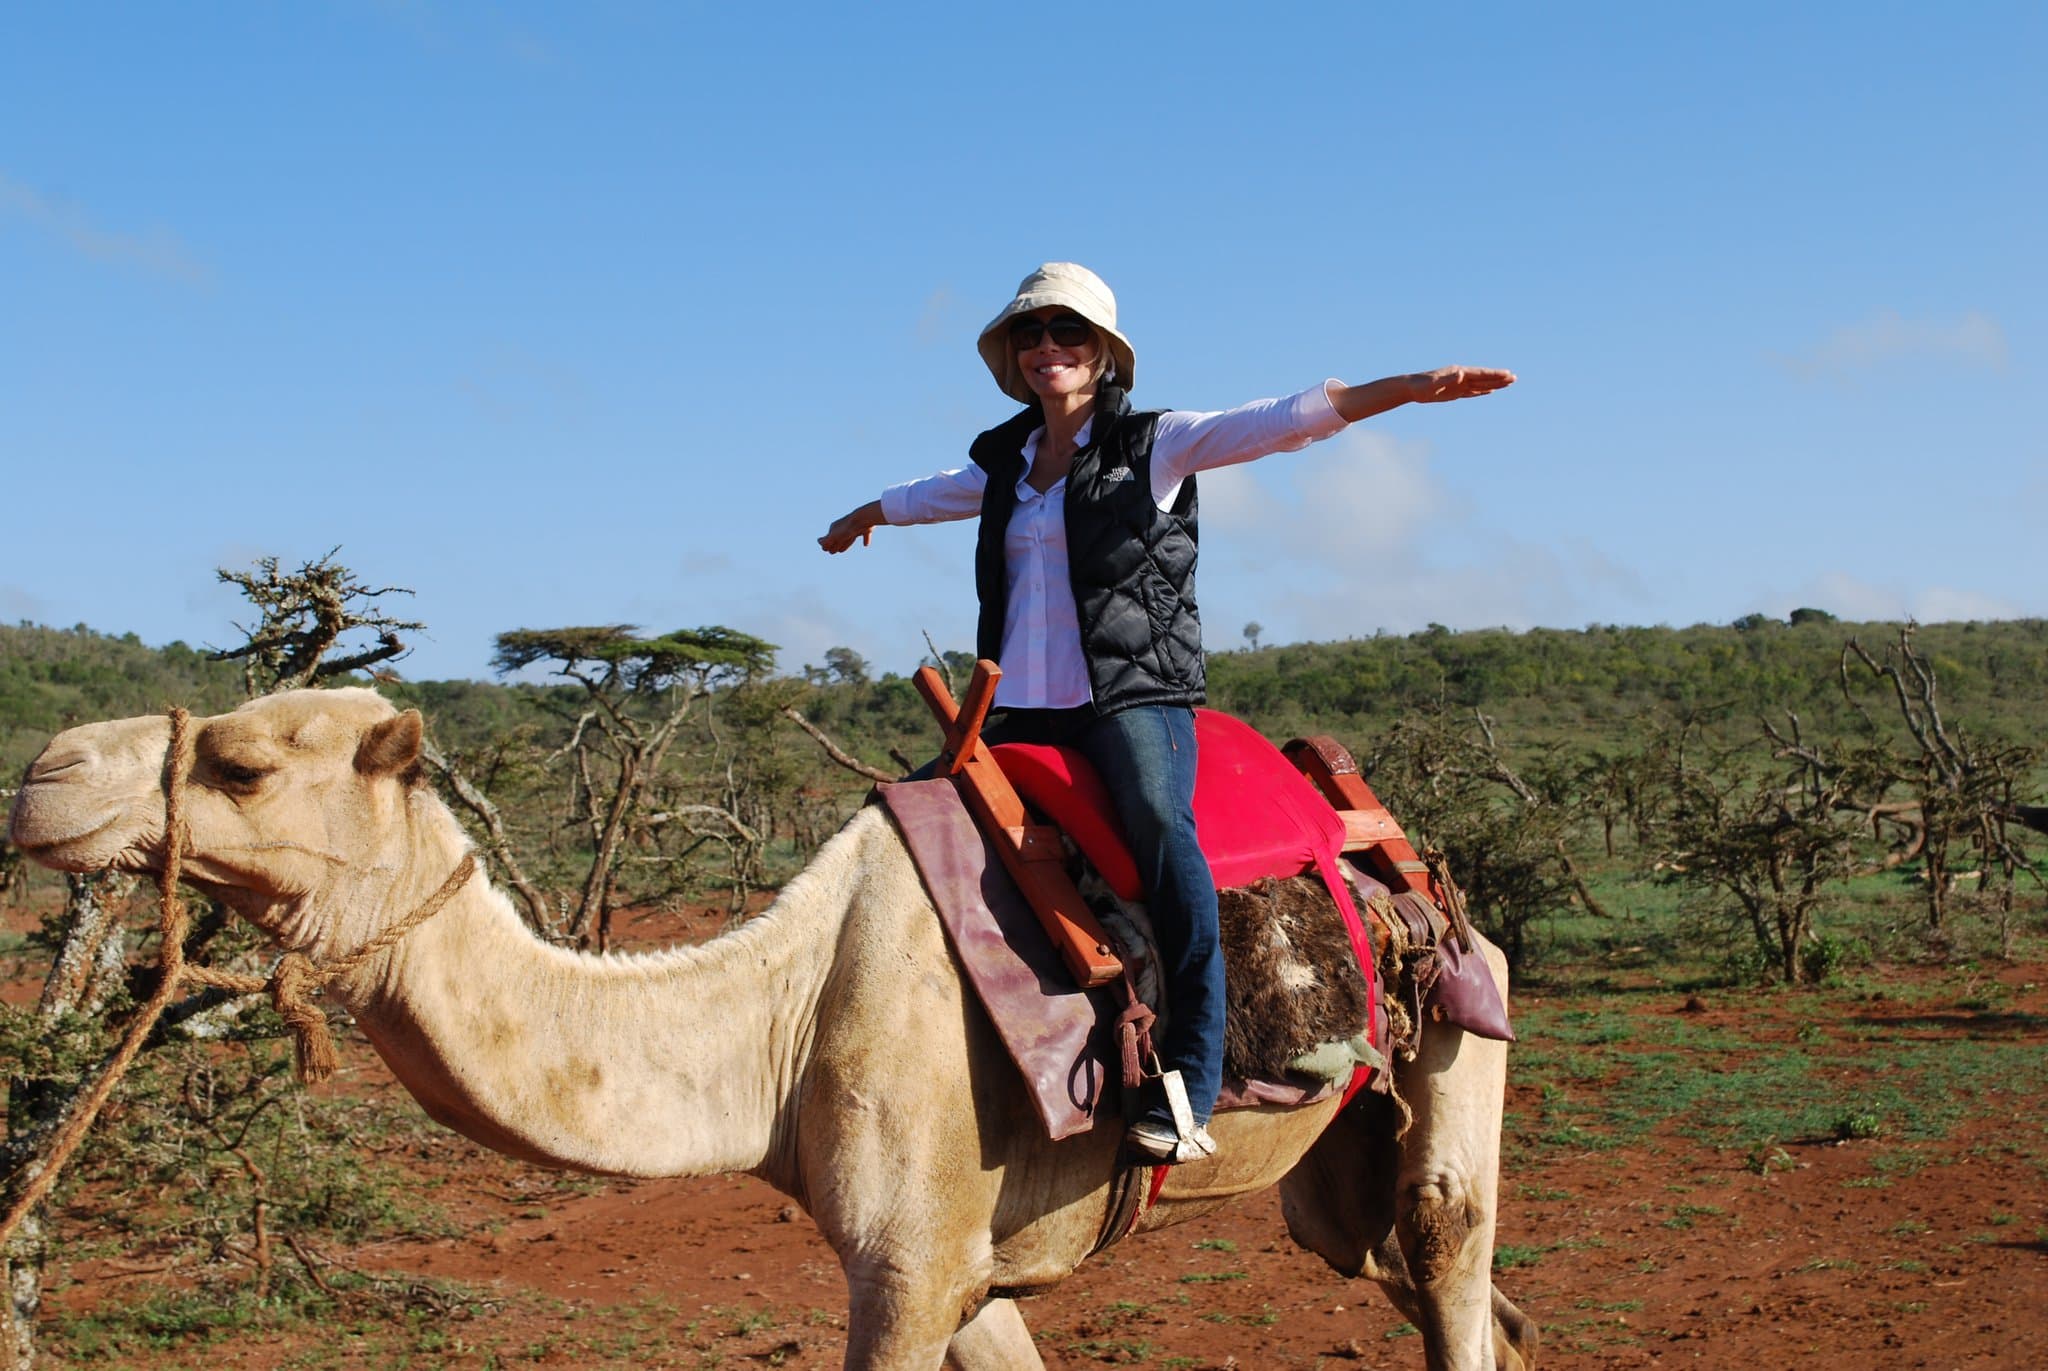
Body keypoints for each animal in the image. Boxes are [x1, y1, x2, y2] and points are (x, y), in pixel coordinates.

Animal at [8, 688, 1533, 1369]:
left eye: (242, 765)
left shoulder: (907, 1263)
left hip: (1465, 1031)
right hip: (1334, 1180)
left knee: (1450, 1255)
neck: (780, 1022)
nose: (43, 775)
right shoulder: (958, 1267)